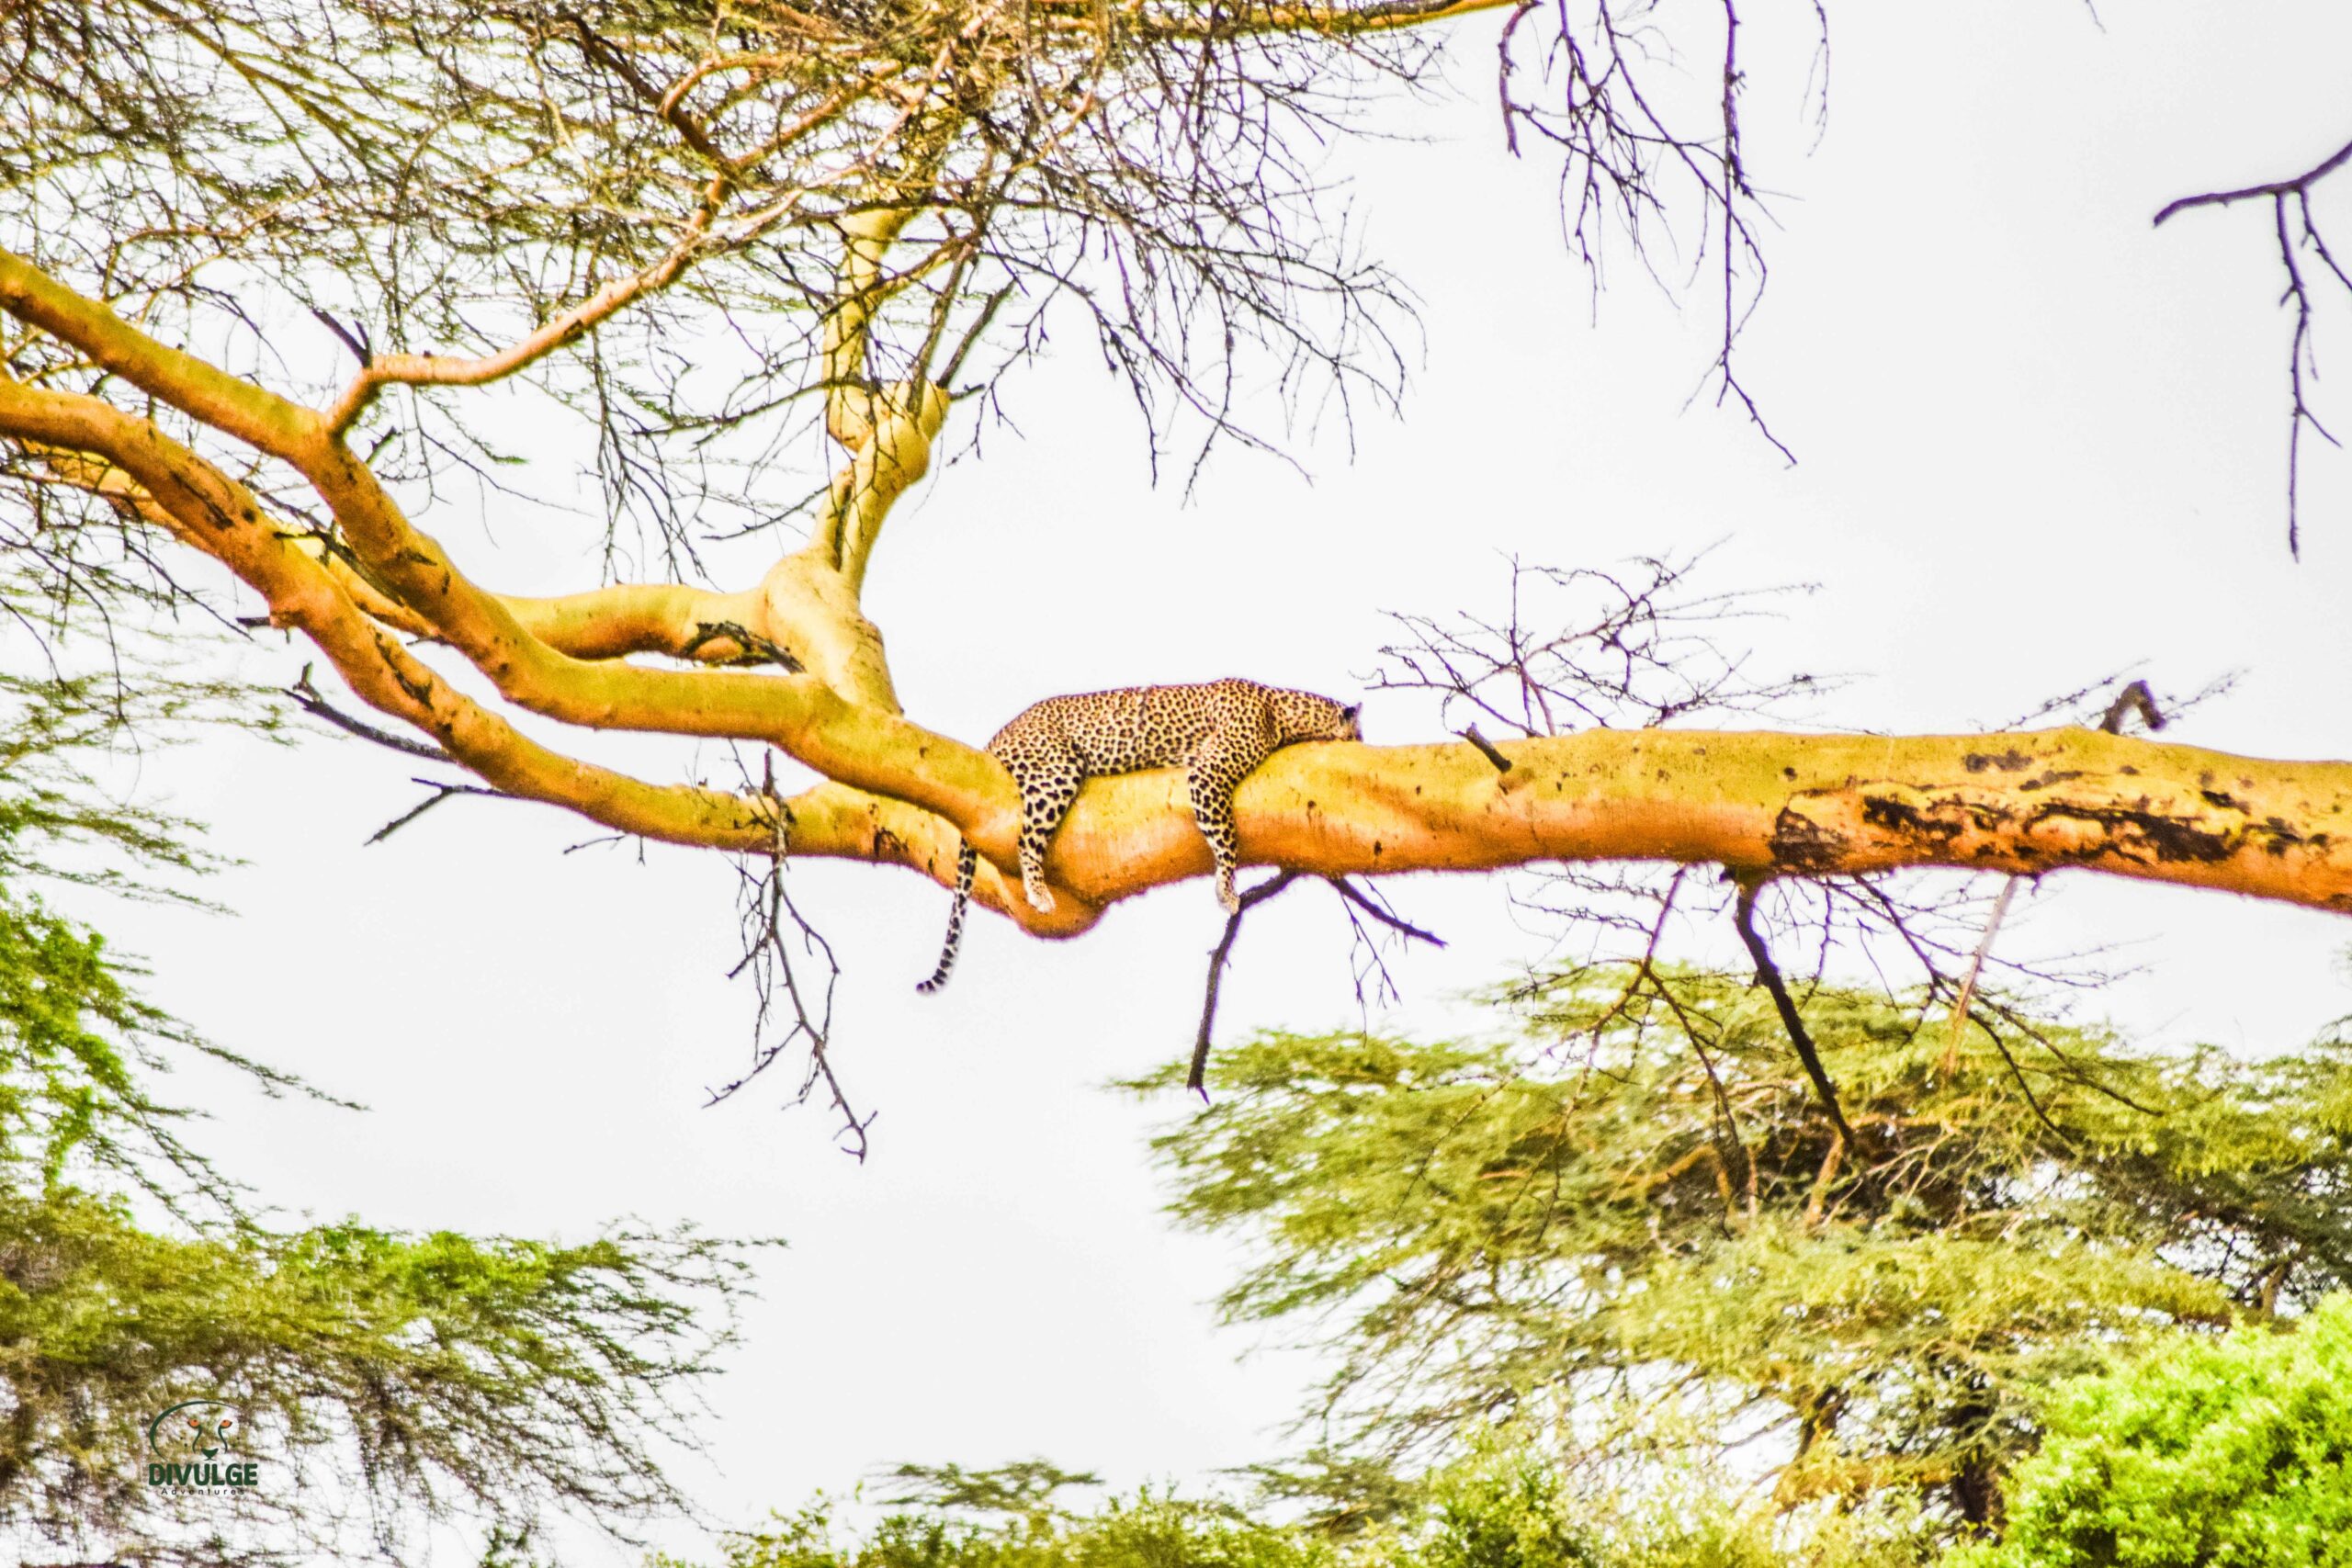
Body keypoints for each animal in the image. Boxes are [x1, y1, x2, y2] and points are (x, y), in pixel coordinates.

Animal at [916, 678, 1362, 993]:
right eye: (1358, 734)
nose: (1364, 743)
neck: (1282, 709)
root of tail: (996, 736)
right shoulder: (1208, 773)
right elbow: (1226, 837)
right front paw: (1228, 892)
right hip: (1055, 769)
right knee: (1026, 839)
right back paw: (1039, 893)